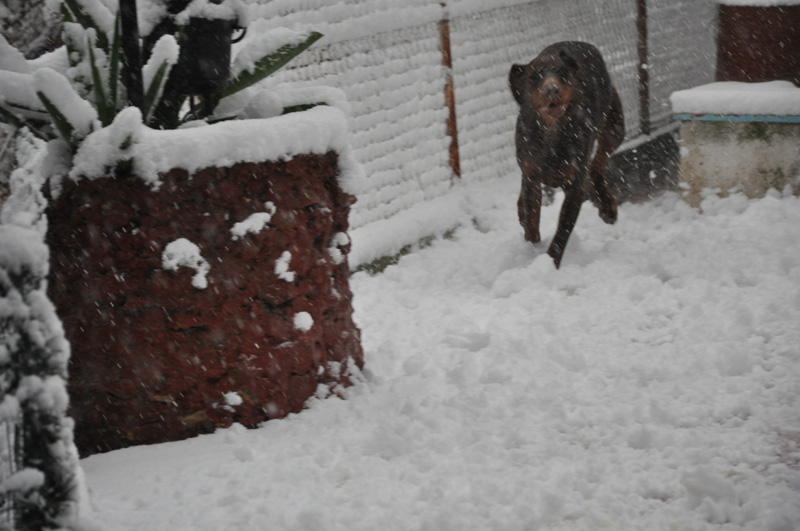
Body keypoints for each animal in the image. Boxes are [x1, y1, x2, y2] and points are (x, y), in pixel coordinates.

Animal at [512, 40, 624, 270]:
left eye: (562, 72)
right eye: (535, 75)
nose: (551, 90)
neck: (552, 133)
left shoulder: (574, 188)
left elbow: (562, 233)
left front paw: (549, 264)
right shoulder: (532, 176)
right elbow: (532, 217)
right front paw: (532, 250)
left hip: (614, 128)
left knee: (596, 164)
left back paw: (607, 206)